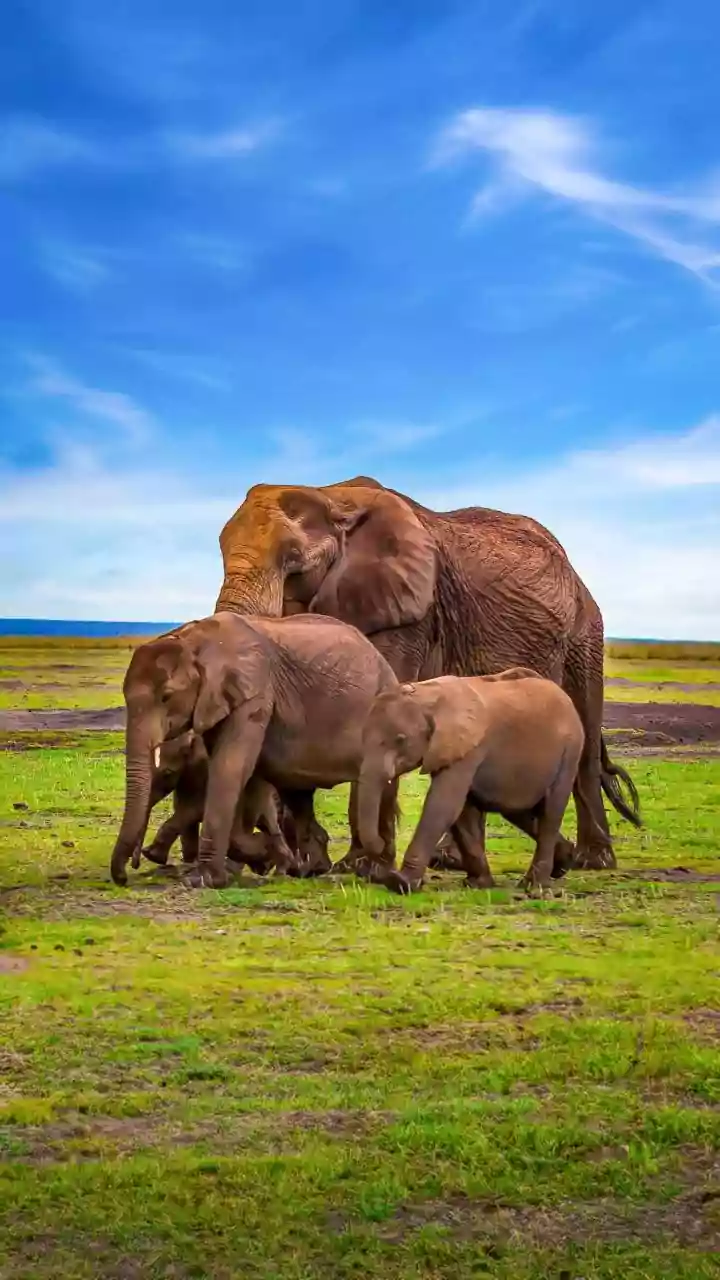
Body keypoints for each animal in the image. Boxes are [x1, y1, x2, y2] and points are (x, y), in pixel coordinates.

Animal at [110, 611, 399, 889]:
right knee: (297, 792)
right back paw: (312, 869)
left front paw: (203, 880)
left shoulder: (254, 692)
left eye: (167, 696)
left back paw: (373, 873)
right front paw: (265, 858)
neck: (194, 639)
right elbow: (239, 773)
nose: (124, 876)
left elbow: (230, 767)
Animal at [213, 475, 640, 871]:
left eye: (294, 562)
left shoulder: (409, 614)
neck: (331, 497)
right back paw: (449, 861)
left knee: (585, 740)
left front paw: (359, 866)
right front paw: (309, 863)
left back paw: (593, 860)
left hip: (585, 633)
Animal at [356, 667, 586, 896]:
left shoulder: (469, 747)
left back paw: (534, 886)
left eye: (401, 740)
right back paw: (563, 863)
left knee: (550, 812)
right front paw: (478, 884)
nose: (381, 846)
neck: (426, 695)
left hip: (570, 751)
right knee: (519, 811)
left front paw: (401, 883)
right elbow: (462, 812)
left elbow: (443, 804)